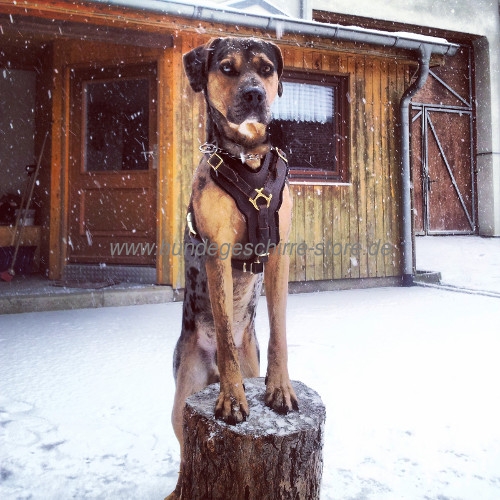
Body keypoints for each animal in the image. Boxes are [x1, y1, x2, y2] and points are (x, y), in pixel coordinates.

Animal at [168, 38, 298, 500]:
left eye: (266, 69)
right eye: (226, 67)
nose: (255, 94)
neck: (248, 158)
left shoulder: (279, 252)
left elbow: (280, 333)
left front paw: (280, 389)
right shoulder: (218, 253)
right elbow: (224, 331)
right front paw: (232, 400)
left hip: (249, 360)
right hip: (182, 391)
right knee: (182, 449)